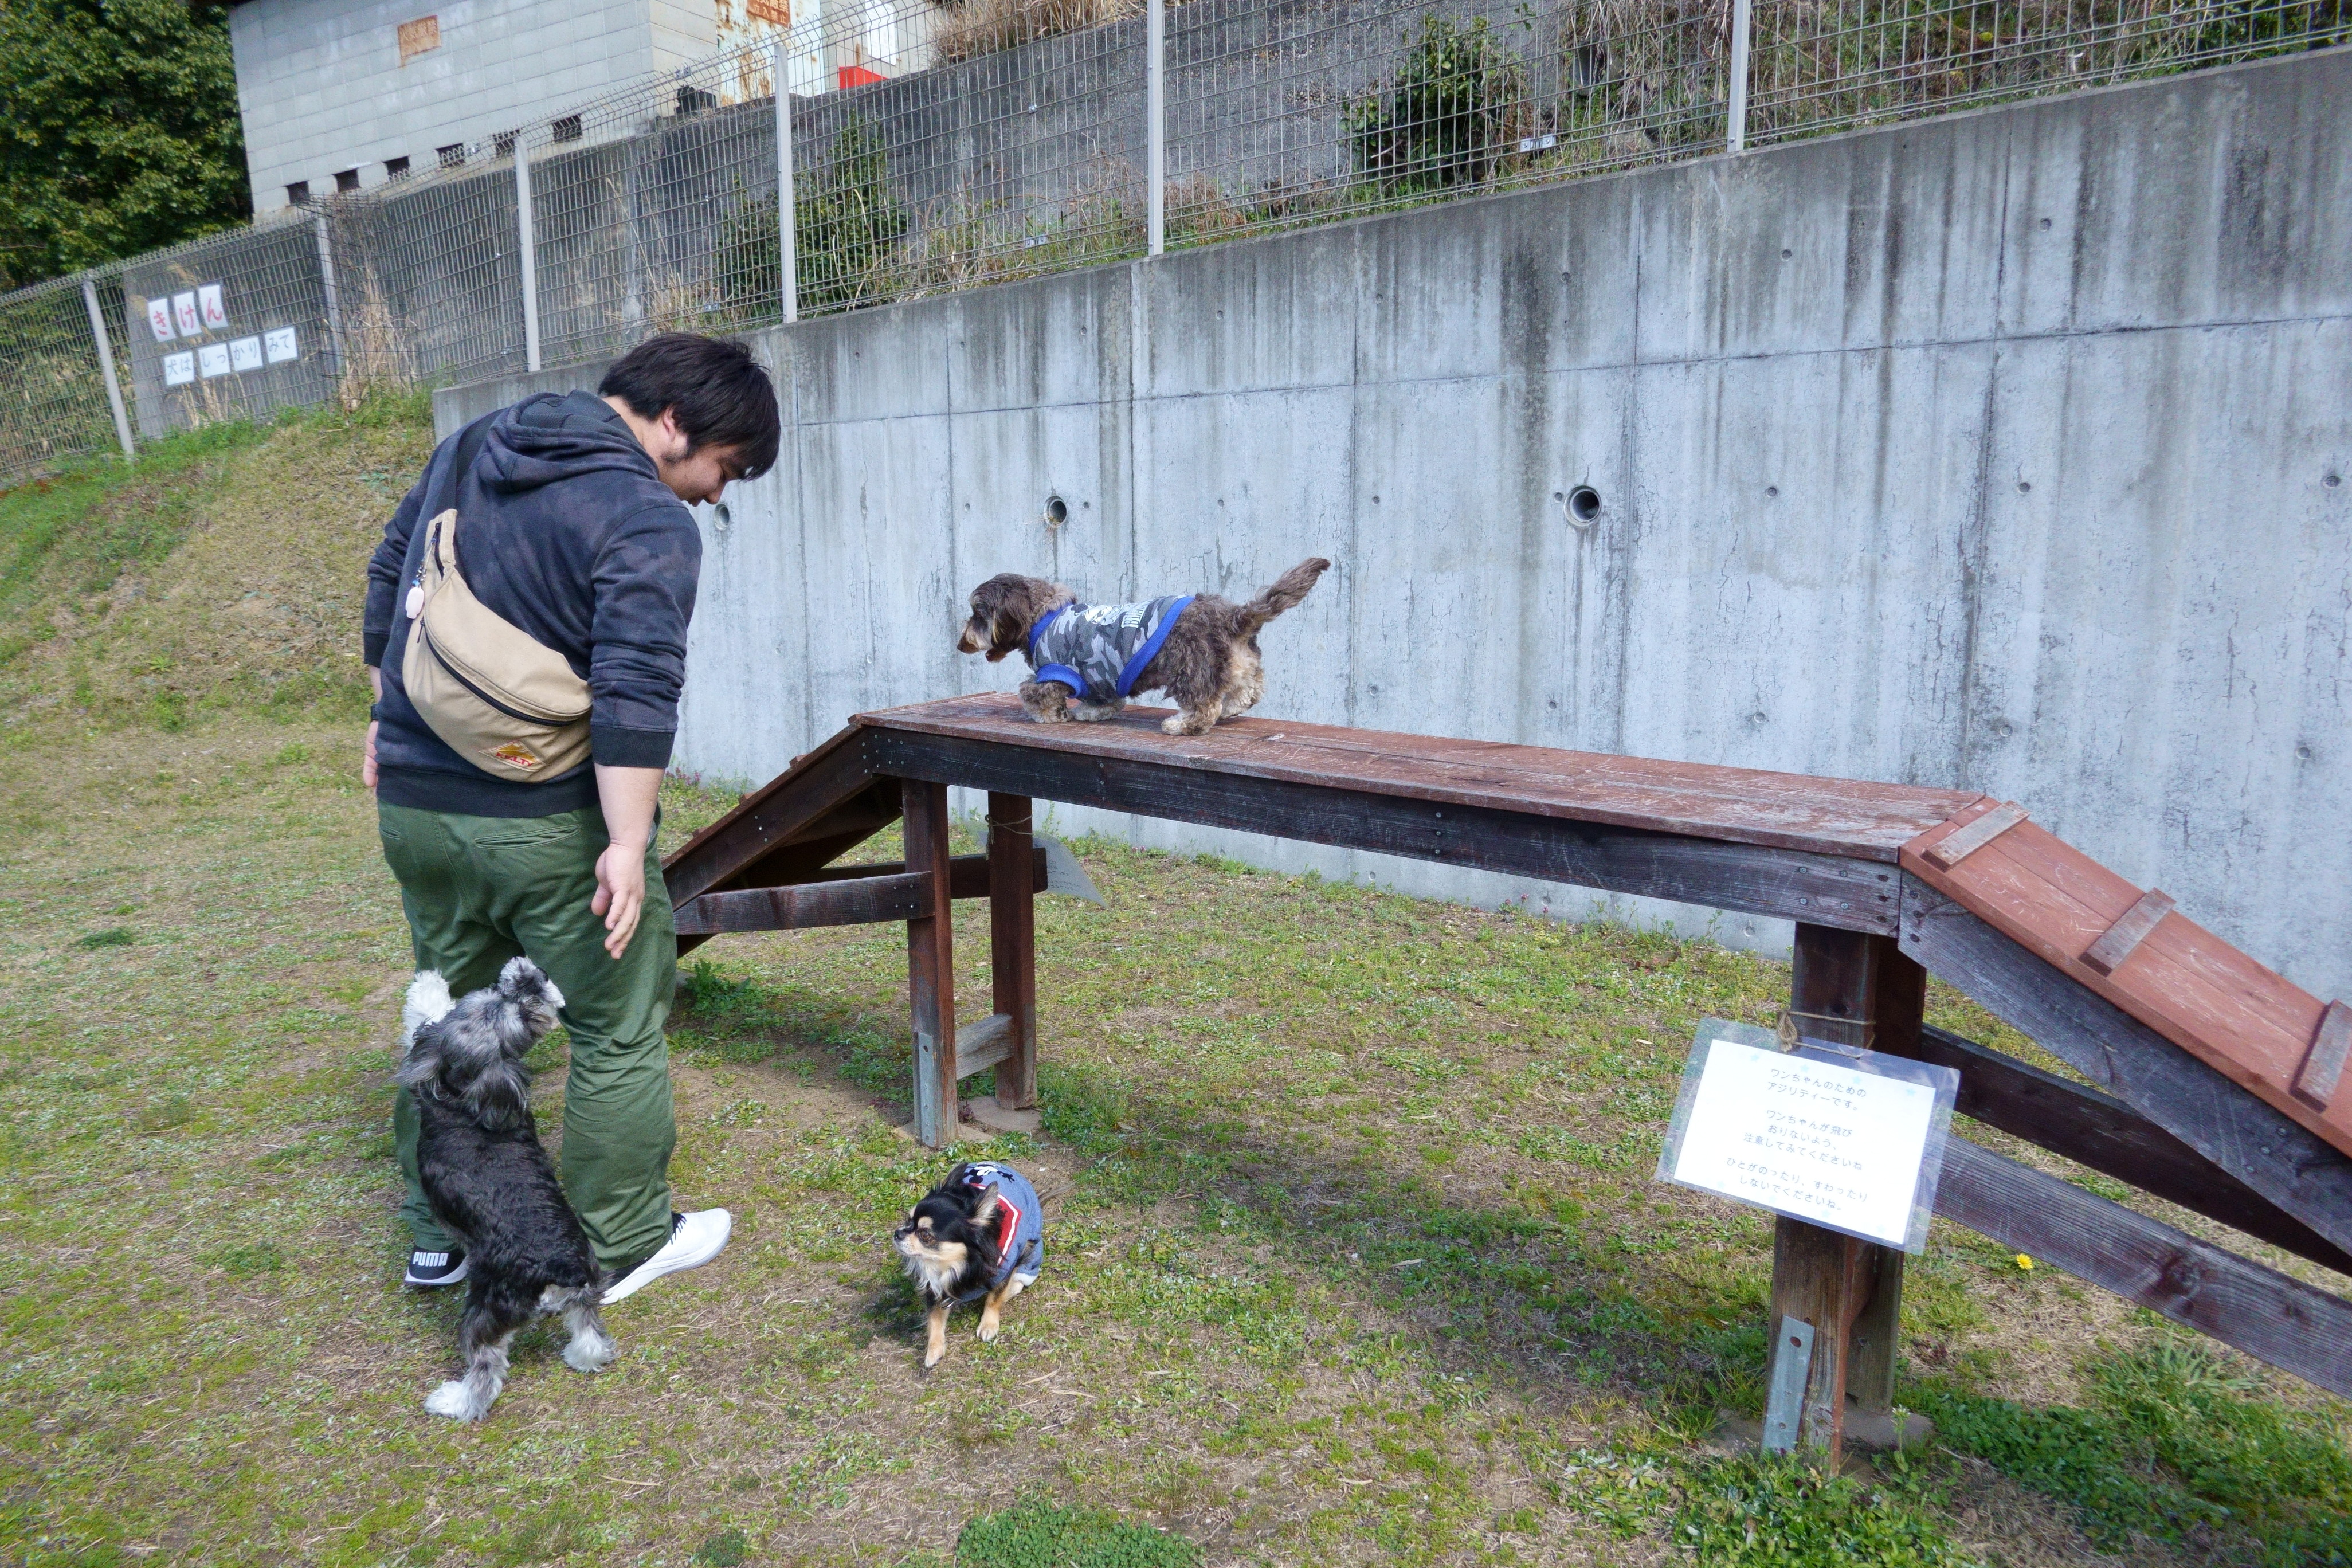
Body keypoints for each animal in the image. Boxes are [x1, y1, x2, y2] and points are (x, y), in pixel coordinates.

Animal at [395, 959, 616, 1420]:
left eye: (493, 1006)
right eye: (519, 1011)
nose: (531, 975)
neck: (470, 1096)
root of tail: (556, 1263)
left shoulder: (426, 1066)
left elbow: (422, 1020)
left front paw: (429, 984)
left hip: (485, 1310)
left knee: (485, 1369)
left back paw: (453, 1401)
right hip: (587, 1283)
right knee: (588, 1330)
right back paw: (584, 1356)